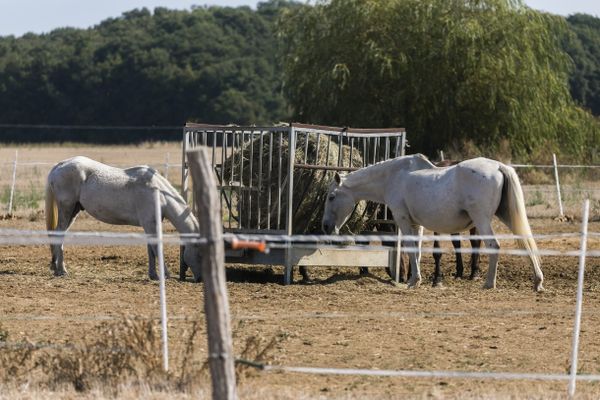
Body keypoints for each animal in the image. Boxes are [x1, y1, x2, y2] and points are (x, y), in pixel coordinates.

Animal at [44, 156, 203, 282]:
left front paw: (153, 275)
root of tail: (60, 165)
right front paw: (166, 275)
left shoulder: (149, 225)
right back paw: (61, 270)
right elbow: (156, 247)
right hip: (66, 209)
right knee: (58, 234)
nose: (201, 279)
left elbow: (150, 250)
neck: (158, 192)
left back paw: (56, 267)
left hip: (73, 211)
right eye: (200, 251)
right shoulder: (150, 224)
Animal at [324, 153, 544, 290]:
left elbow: (411, 249)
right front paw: (417, 279)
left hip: (481, 220)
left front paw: (413, 280)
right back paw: (537, 282)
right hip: (507, 216)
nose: (326, 226)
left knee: (494, 246)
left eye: (331, 197)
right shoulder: (417, 225)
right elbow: (418, 251)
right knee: (526, 243)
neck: (393, 176)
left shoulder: (403, 220)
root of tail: (499, 166)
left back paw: (489, 283)